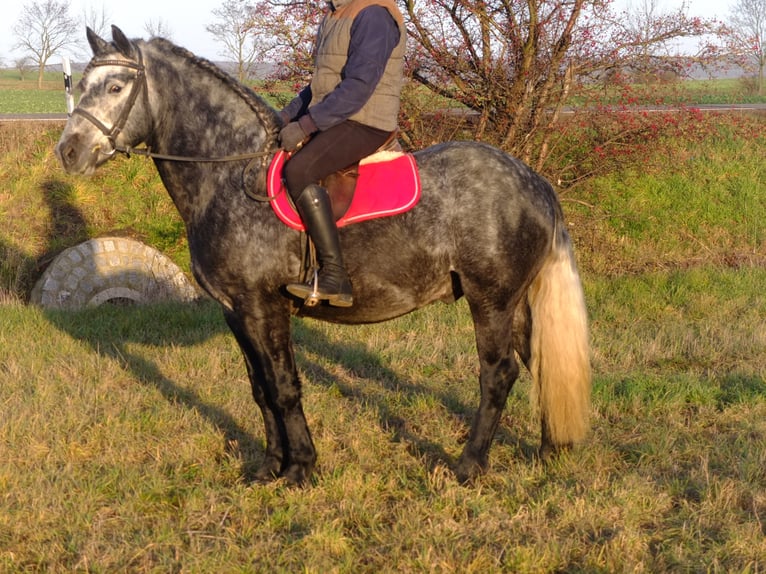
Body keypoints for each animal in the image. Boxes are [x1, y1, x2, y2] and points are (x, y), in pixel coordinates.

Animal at [55, 25, 592, 486]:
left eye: (117, 86)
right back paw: (550, 452)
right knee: (541, 363)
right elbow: (260, 388)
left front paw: (300, 469)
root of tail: (533, 182)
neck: (229, 174)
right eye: (81, 84)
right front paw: (268, 467)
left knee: (498, 374)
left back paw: (469, 466)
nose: (68, 152)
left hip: (491, 301)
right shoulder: (235, 309)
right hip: (514, 302)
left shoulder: (263, 305)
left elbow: (284, 385)